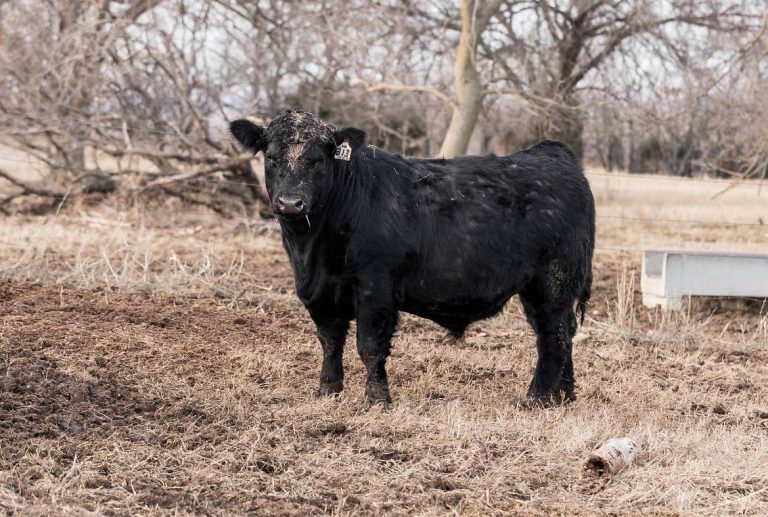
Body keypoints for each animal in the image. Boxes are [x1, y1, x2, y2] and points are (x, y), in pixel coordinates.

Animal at [230, 110, 595, 406]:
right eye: (271, 158)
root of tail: (550, 153)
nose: (291, 202)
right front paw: (327, 391)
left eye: (318, 160)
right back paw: (564, 395)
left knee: (553, 334)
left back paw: (537, 398)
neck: (311, 250)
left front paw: (377, 400)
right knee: (563, 332)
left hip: (552, 280)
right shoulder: (320, 293)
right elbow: (330, 340)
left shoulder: (375, 287)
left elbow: (369, 345)